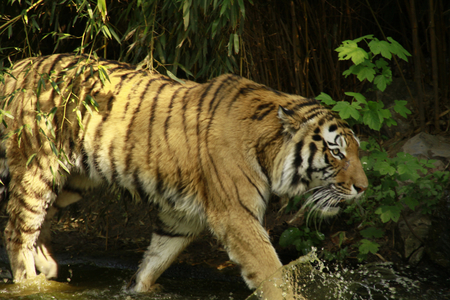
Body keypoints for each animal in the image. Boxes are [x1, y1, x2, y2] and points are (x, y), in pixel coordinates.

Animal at [0, 54, 368, 300]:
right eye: (336, 152)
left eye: (356, 151)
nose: (363, 188)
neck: (268, 148)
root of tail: (17, 67)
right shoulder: (236, 215)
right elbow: (270, 270)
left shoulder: (182, 217)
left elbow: (156, 258)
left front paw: (136, 289)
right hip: (38, 169)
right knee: (16, 231)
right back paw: (29, 283)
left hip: (74, 180)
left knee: (42, 225)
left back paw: (48, 269)